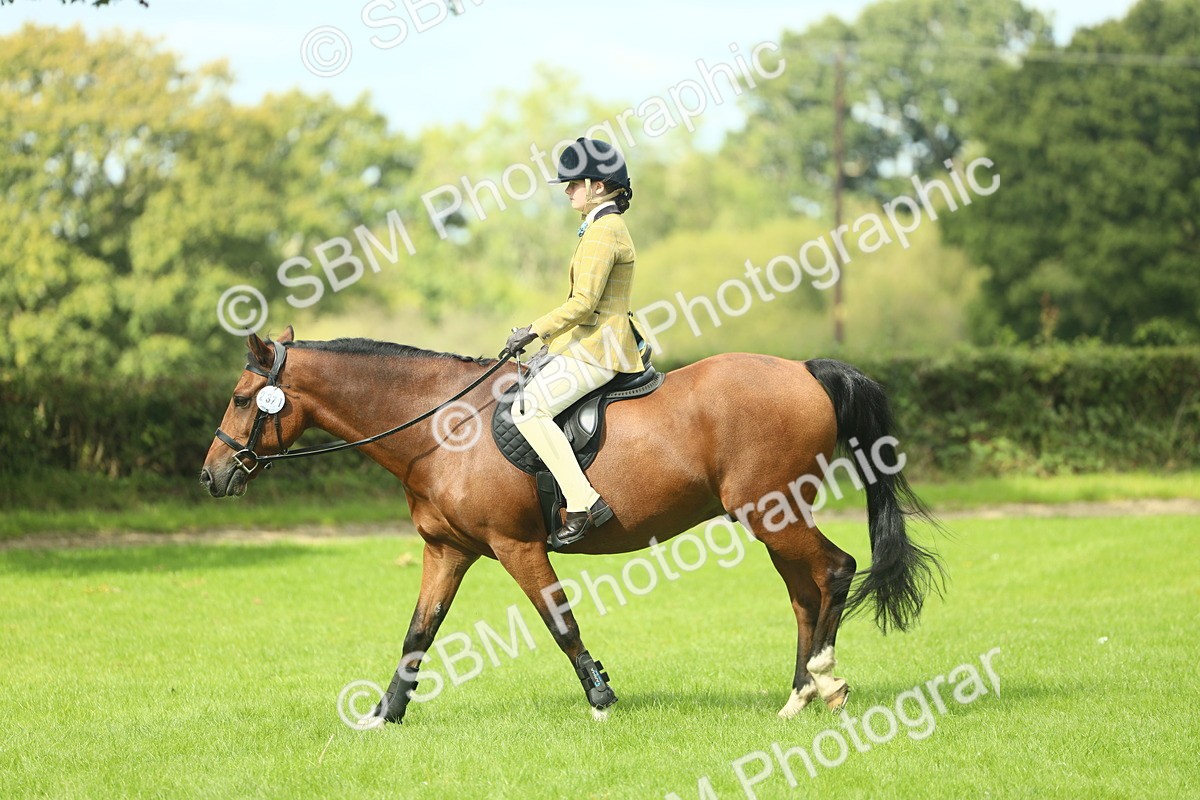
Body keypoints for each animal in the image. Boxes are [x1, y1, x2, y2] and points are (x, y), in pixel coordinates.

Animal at [200, 325, 943, 725]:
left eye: (240, 398)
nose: (211, 477)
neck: (444, 426)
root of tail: (805, 370)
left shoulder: (517, 546)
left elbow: (560, 623)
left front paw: (601, 696)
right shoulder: (447, 550)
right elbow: (418, 634)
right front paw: (385, 715)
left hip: (772, 511)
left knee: (834, 571)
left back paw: (826, 679)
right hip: (775, 514)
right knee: (804, 593)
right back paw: (799, 697)